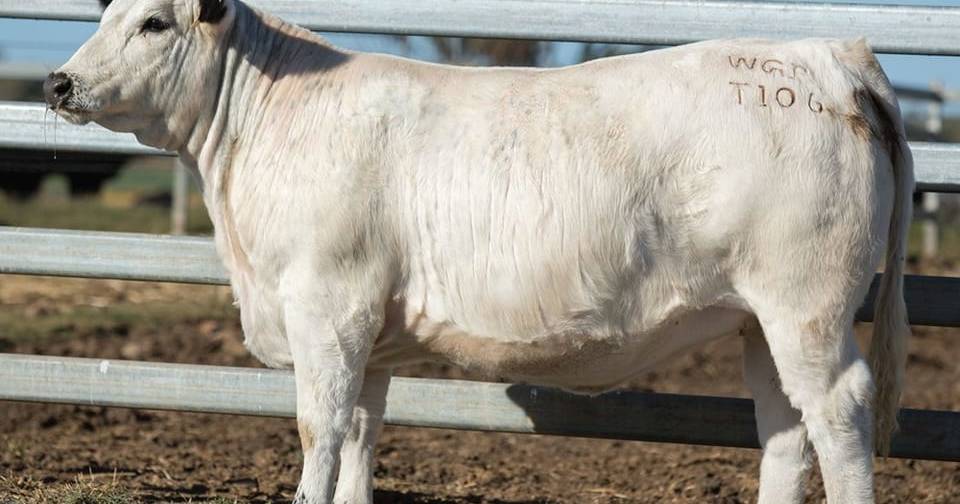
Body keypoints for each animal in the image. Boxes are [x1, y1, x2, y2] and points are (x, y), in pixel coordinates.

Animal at [47, 0, 916, 504]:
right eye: (107, 11)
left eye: (154, 22)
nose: (58, 82)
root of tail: (826, 54)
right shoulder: (369, 329)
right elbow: (361, 434)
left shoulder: (325, 306)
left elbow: (319, 429)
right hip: (755, 318)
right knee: (784, 426)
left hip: (807, 303)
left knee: (838, 412)